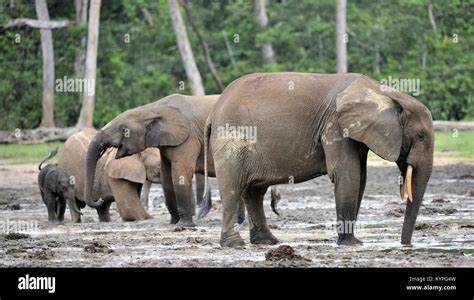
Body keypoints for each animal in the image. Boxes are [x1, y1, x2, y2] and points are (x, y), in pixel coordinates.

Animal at [202, 72, 436, 246]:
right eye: (421, 137)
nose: (405, 245)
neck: (385, 93)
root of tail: (213, 112)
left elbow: (360, 177)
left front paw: (353, 241)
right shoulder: (335, 125)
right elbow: (347, 174)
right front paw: (351, 243)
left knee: (254, 191)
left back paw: (268, 241)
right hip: (231, 138)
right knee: (233, 187)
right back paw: (234, 244)